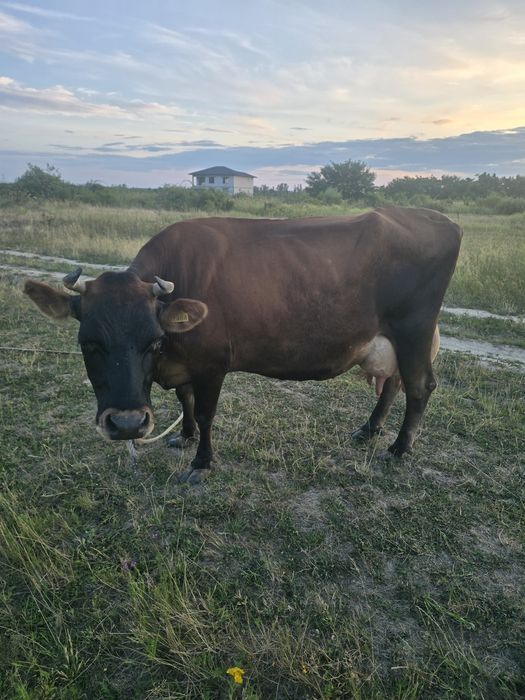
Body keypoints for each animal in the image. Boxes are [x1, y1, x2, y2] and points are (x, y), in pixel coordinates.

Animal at [24, 207, 461, 484]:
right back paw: (370, 430)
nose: (128, 424)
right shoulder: (186, 364)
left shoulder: (212, 364)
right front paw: (184, 437)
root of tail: (437, 218)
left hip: (414, 329)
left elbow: (205, 413)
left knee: (419, 386)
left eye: (153, 341)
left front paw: (202, 462)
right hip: (395, 339)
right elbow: (184, 401)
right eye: (89, 343)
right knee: (393, 384)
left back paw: (399, 448)